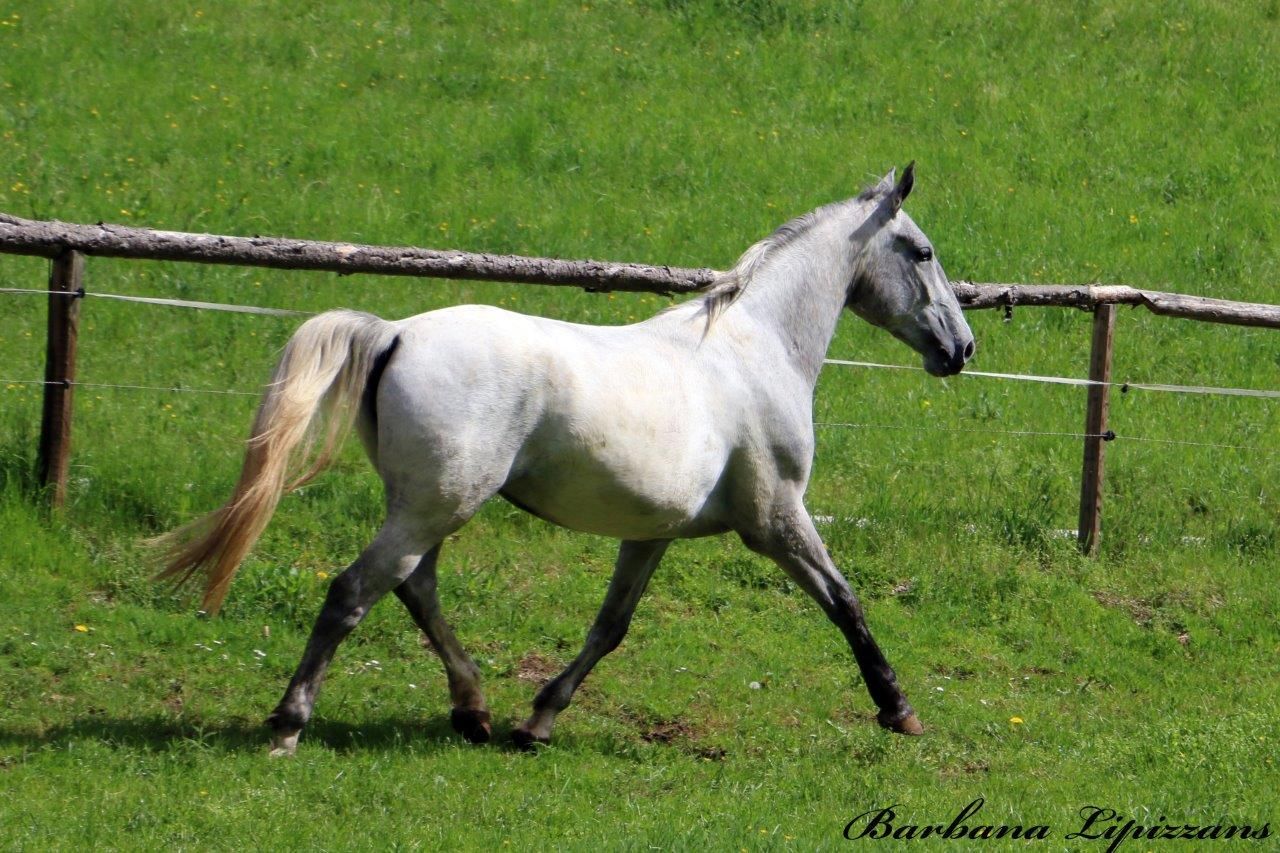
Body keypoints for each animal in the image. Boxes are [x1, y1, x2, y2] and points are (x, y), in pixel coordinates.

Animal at [156, 163, 975, 756]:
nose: (961, 348)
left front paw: (537, 721)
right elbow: (845, 601)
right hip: (437, 505)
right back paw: (289, 724)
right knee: (354, 591)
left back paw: (476, 712)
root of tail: (393, 332)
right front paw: (899, 711)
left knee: (414, 588)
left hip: (428, 505)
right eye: (924, 252)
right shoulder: (774, 517)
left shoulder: (650, 534)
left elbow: (610, 627)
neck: (753, 346)